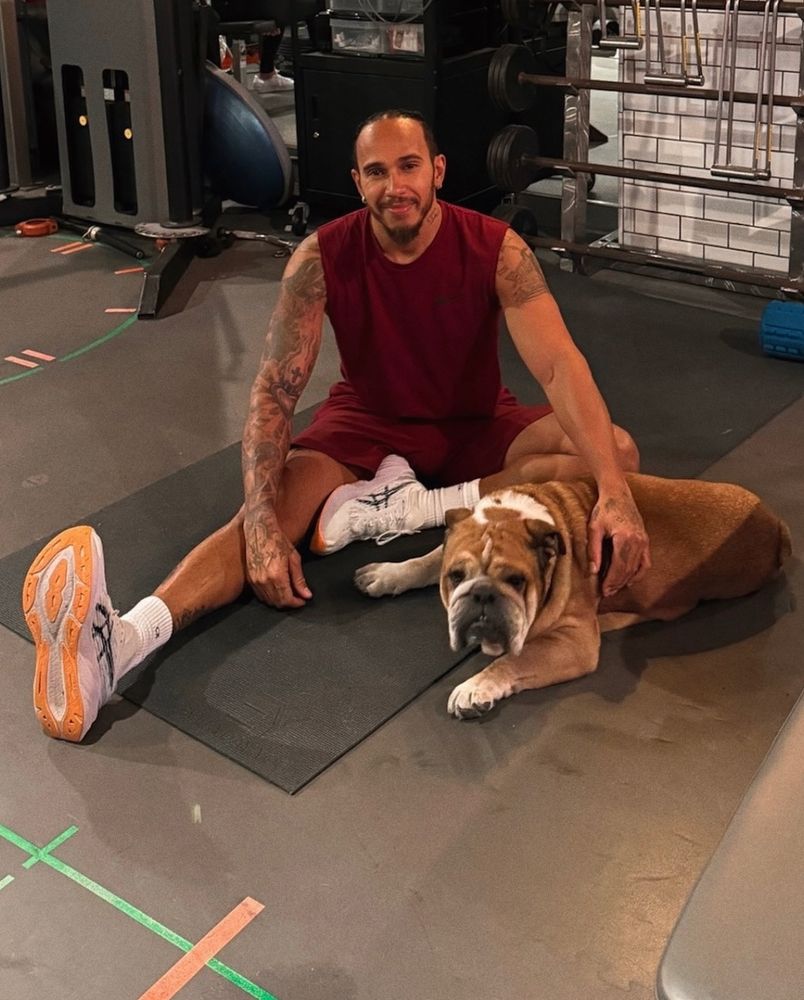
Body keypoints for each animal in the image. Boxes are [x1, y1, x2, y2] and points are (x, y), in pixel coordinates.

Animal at [354, 473, 792, 718]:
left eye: (517, 581)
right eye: (456, 577)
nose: (480, 595)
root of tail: (777, 526)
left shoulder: (573, 642)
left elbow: (515, 660)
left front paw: (475, 687)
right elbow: (428, 558)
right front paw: (387, 573)